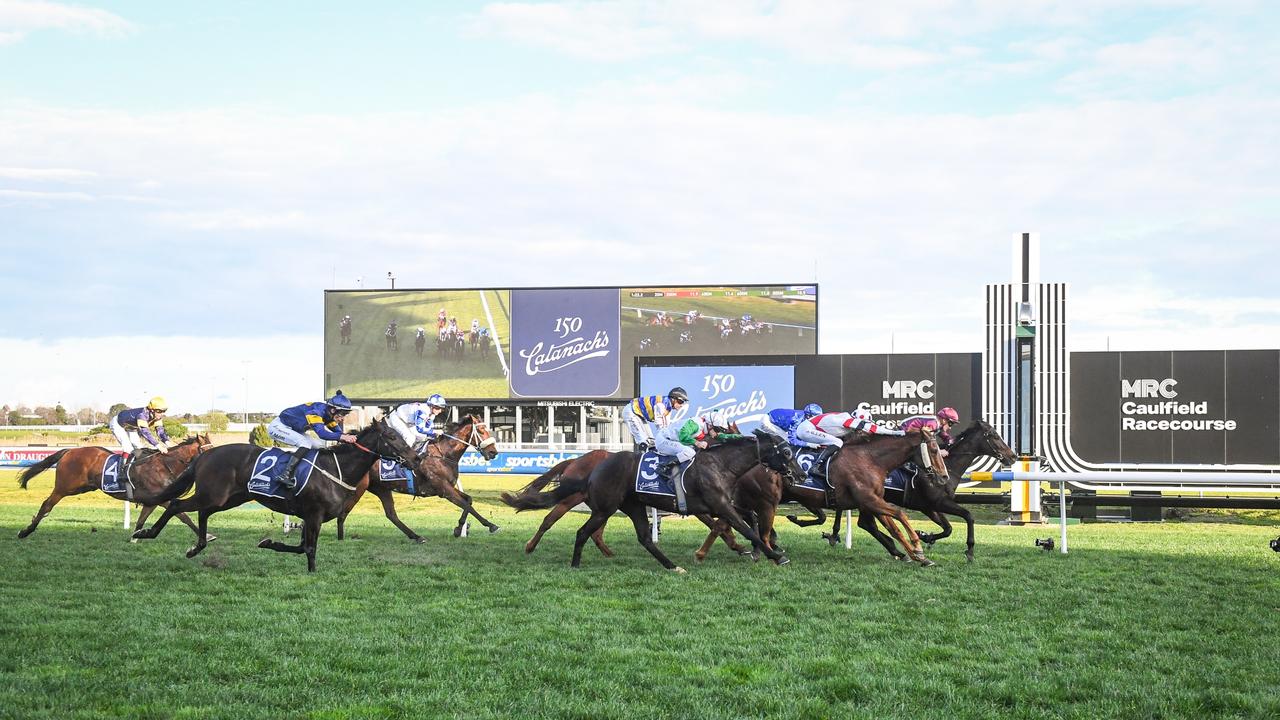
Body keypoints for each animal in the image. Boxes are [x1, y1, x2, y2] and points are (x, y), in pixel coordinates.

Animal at [15, 430, 212, 538]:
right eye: (207, 450)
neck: (165, 465)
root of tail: (69, 451)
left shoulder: (152, 501)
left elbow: (142, 520)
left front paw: (136, 537)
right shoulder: (161, 499)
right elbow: (184, 516)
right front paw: (208, 536)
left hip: (82, 487)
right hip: (65, 487)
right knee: (47, 504)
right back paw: (25, 531)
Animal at [130, 417, 412, 568]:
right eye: (391, 437)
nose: (414, 457)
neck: (336, 468)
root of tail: (205, 455)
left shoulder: (311, 517)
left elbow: (302, 548)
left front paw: (268, 542)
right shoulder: (314, 514)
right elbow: (309, 549)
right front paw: (309, 571)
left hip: (229, 498)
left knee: (202, 513)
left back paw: (196, 547)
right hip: (215, 494)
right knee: (176, 504)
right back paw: (145, 533)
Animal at [332, 412, 501, 540]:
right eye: (481, 430)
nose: (493, 452)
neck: (443, 454)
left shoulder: (447, 488)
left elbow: (469, 500)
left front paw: (459, 528)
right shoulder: (444, 489)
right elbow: (466, 505)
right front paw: (491, 525)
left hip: (381, 488)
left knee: (391, 515)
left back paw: (416, 536)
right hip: (359, 488)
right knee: (343, 512)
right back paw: (340, 539)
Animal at [499, 427, 798, 568]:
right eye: (785, 452)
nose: (799, 473)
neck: (720, 464)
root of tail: (593, 465)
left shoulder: (722, 505)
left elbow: (744, 524)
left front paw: (758, 550)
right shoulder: (718, 505)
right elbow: (745, 528)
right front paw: (774, 555)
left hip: (629, 506)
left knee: (640, 537)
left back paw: (671, 566)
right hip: (603, 507)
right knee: (574, 527)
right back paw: (569, 561)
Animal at [819, 417, 1018, 563]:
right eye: (993, 435)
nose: (1013, 456)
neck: (948, 466)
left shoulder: (929, 507)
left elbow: (948, 528)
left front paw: (925, 537)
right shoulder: (938, 502)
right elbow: (968, 516)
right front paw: (969, 550)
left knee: (865, 523)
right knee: (866, 523)